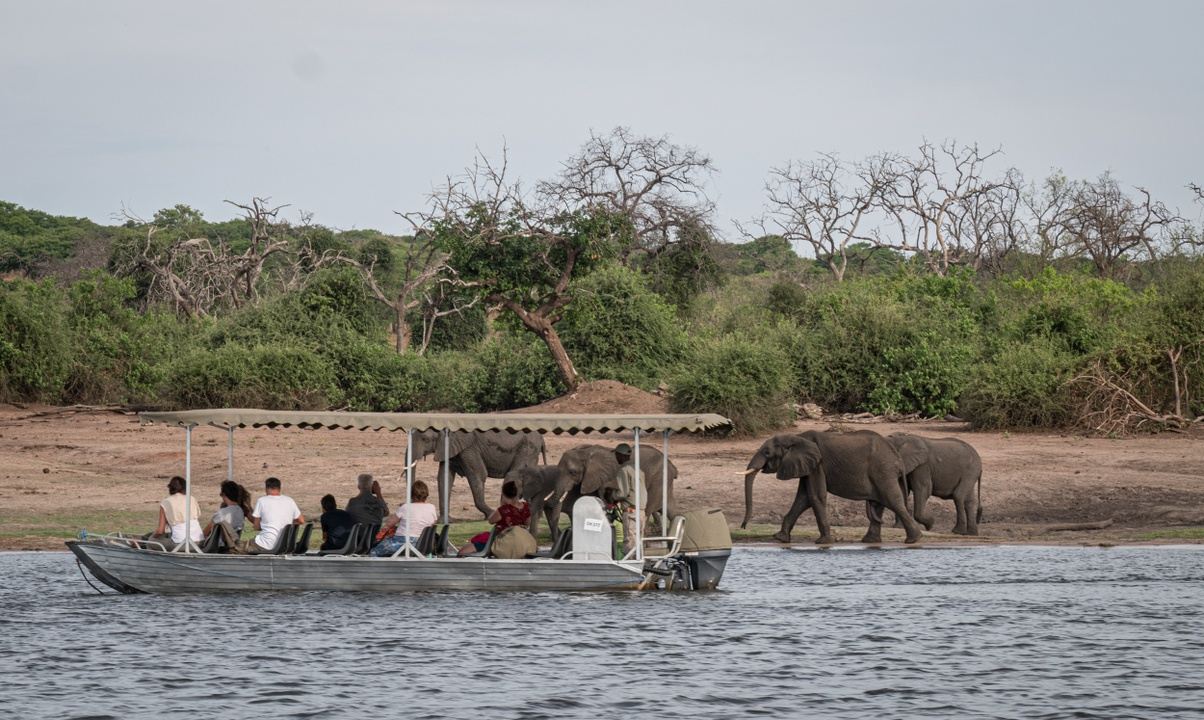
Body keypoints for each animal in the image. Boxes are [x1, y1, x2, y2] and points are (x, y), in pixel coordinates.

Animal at [414, 431, 546, 522]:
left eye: (425, 439)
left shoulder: (469, 448)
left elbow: (478, 474)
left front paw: (491, 515)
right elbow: (444, 478)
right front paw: (444, 521)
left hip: (527, 449)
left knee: (514, 475)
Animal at [549, 443, 679, 544]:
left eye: (572, 472)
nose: (555, 541)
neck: (584, 452)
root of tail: (672, 466)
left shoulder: (601, 477)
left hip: (659, 480)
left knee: (647, 510)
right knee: (670, 510)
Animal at [732, 431, 919, 544]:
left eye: (767, 453)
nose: (743, 526)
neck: (795, 437)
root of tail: (897, 457)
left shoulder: (818, 465)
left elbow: (815, 496)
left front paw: (823, 542)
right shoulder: (808, 466)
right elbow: (803, 499)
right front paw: (780, 538)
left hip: (882, 470)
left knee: (893, 501)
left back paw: (913, 540)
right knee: (880, 504)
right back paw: (870, 541)